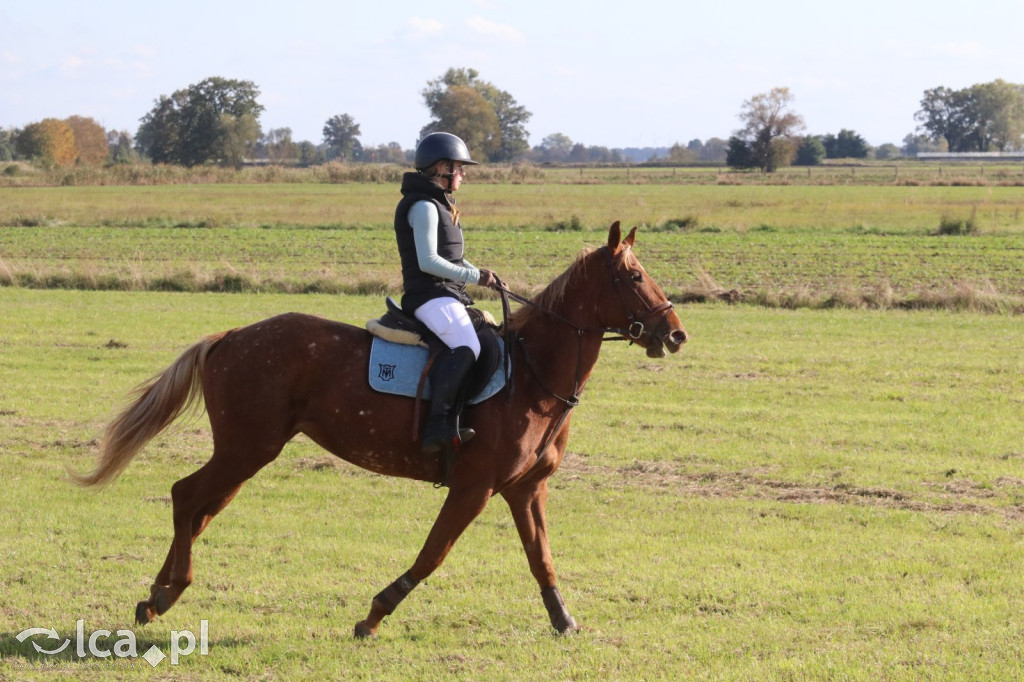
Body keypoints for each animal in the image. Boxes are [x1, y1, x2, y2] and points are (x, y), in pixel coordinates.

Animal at [72, 220, 688, 634]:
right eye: (634, 276)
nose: (677, 334)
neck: (533, 376)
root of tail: (230, 337)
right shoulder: (474, 487)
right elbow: (434, 553)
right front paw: (374, 614)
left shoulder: (524, 490)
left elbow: (542, 558)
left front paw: (564, 621)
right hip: (247, 448)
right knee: (185, 496)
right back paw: (166, 591)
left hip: (247, 454)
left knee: (200, 509)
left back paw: (157, 596)